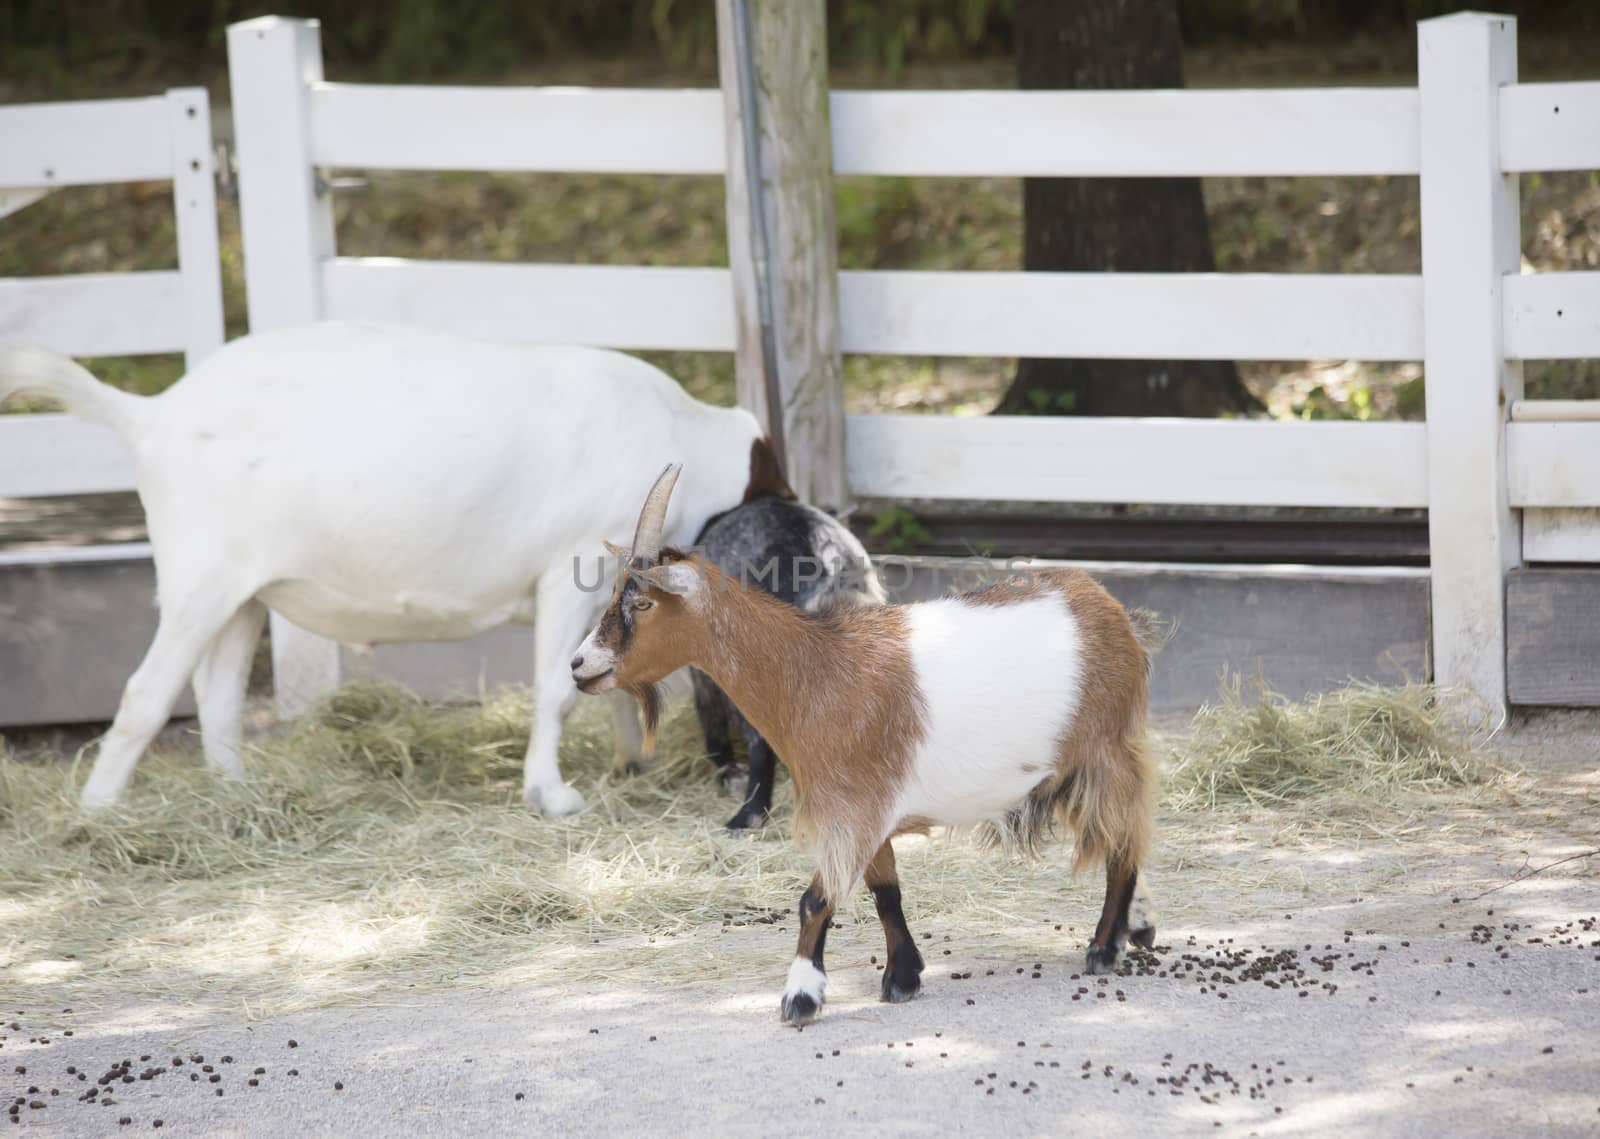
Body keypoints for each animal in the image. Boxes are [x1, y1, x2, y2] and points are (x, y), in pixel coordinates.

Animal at [576, 467, 1164, 1030]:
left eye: (643, 602)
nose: (580, 665)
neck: (812, 670)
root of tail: (1112, 611)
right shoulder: (871, 813)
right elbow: (885, 892)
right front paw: (903, 975)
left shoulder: (853, 809)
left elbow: (814, 900)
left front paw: (802, 997)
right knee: (1120, 833)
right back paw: (1137, 924)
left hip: (1106, 749)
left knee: (1124, 839)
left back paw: (1103, 947)